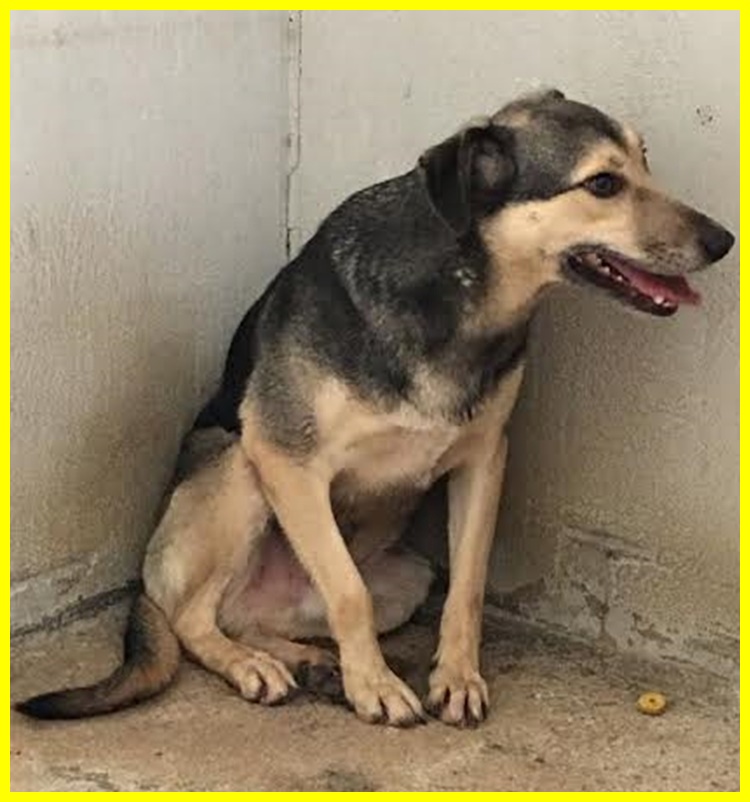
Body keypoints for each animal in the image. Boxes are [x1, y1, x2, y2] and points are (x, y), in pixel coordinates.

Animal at [16, 89, 734, 728]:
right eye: (603, 184)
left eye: (646, 159)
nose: (723, 240)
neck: (460, 291)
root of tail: (147, 580)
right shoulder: (285, 459)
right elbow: (347, 592)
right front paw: (377, 688)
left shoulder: (484, 459)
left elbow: (466, 587)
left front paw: (456, 678)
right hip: (238, 470)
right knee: (195, 617)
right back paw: (254, 665)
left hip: (406, 574)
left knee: (244, 616)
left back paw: (305, 661)